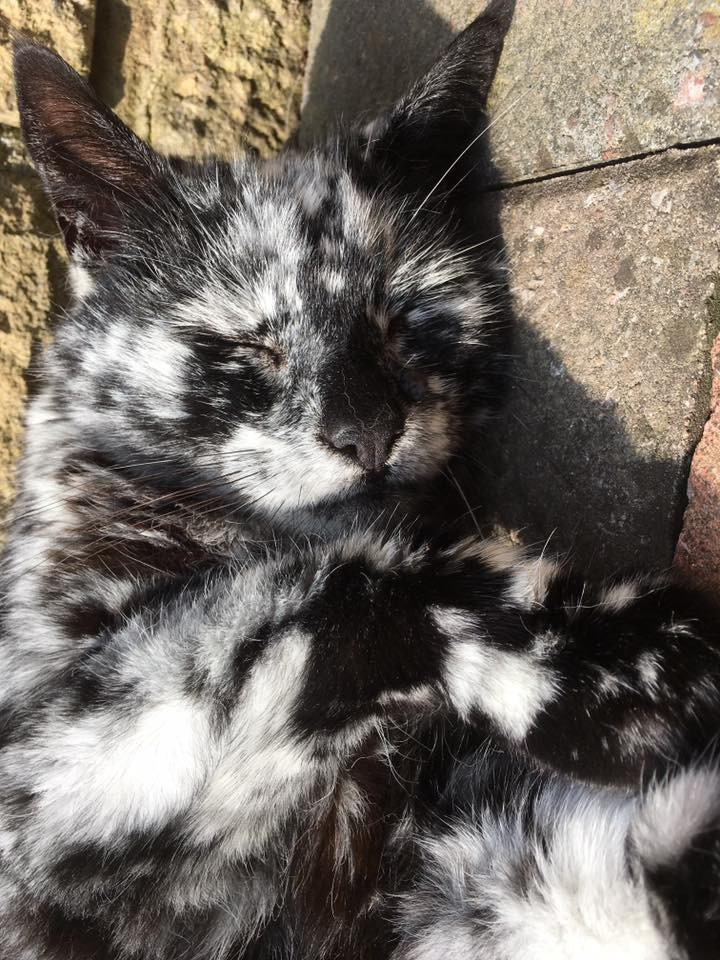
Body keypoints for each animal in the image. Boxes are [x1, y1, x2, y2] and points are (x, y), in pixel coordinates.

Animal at [1, 3, 720, 956]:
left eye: (400, 319)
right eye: (250, 345)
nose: (369, 430)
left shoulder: (465, 865)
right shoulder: (43, 786)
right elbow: (329, 592)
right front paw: (623, 658)